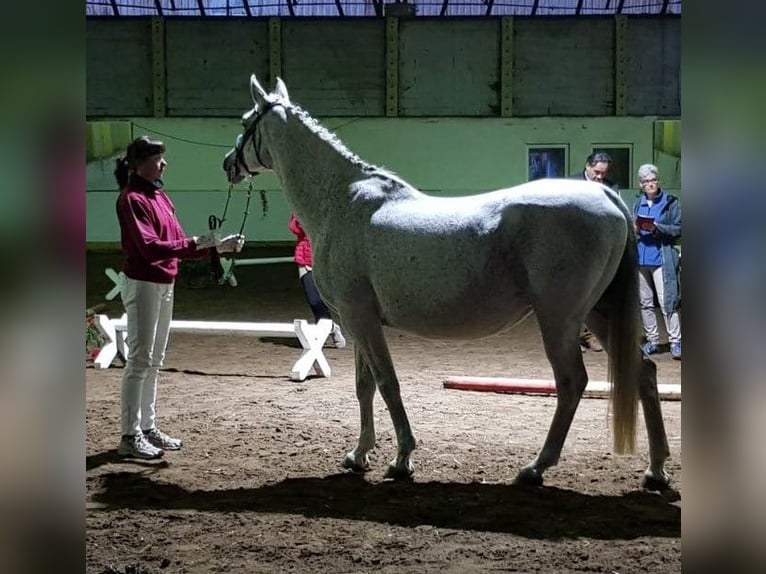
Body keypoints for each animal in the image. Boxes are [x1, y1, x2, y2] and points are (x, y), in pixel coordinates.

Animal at [222, 74, 672, 492]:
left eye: (246, 121)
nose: (229, 163)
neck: (344, 202)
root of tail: (608, 198)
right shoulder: (356, 321)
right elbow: (364, 386)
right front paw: (358, 454)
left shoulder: (359, 318)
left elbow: (386, 383)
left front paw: (402, 459)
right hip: (599, 312)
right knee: (644, 373)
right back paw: (656, 471)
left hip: (560, 319)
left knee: (572, 382)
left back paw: (535, 467)